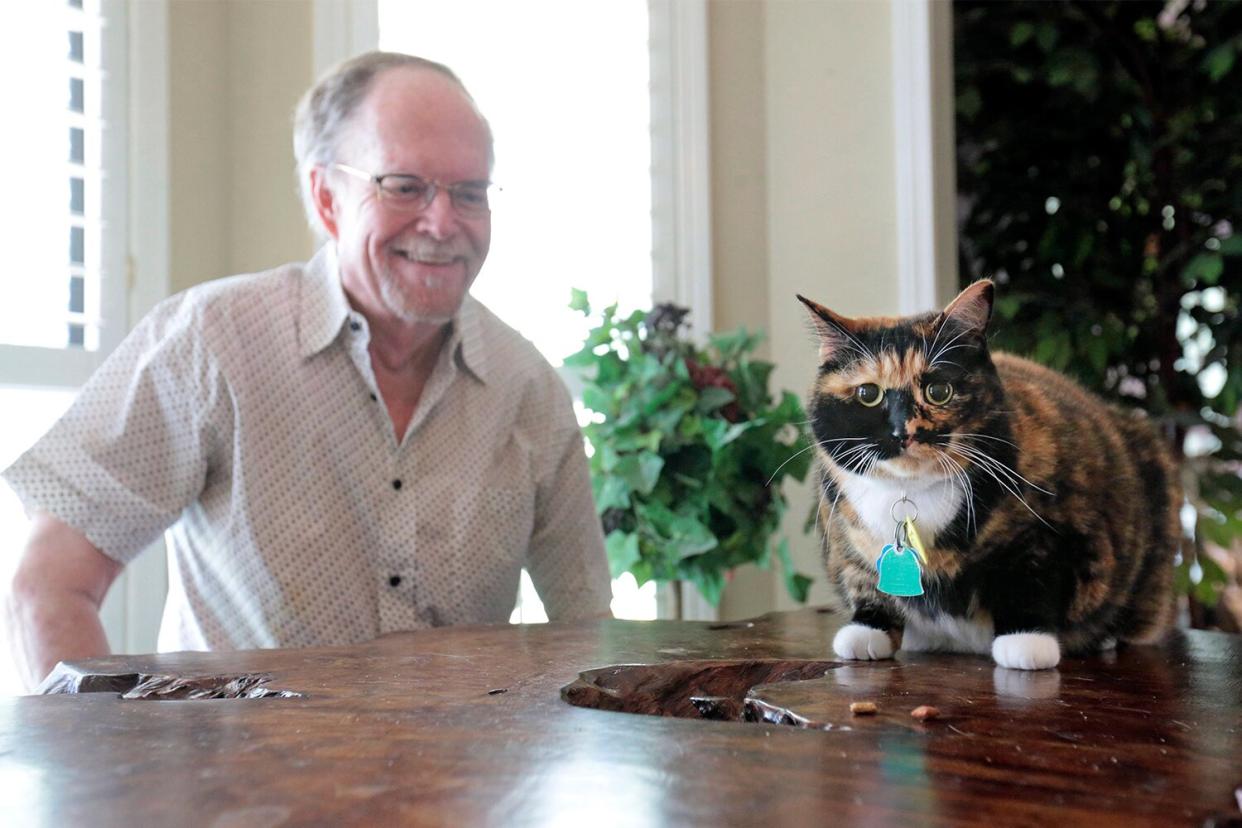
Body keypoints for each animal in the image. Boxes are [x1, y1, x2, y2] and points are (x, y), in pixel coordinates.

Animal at [799, 281, 1177, 670]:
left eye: (939, 391)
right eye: (868, 393)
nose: (903, 432)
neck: (910, 494)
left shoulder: (1047, 534)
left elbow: (1030, 580)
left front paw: (1025, 641)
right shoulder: (842, 536)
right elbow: (862, 579)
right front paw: (867, 630)